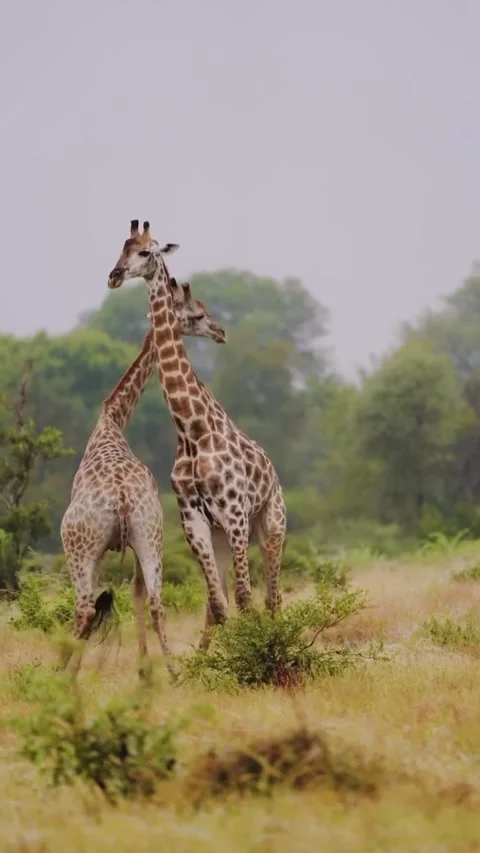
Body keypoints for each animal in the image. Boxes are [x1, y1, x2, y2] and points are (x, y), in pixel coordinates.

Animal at [60, 254, 227, 676]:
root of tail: (119, 499)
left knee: (85, 607)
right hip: (151, 534)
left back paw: (63, 671)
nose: (220, 331)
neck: (111, 421)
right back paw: (171, 670)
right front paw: (144, 667)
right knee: (154, 601)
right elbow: (137, 595)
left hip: (81, 546)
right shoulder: (137, 543)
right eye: (197, 313)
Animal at [108, 220, 286, 649]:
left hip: (271, 524)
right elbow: (218, 604)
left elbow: (243, 597)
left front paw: (254, 653)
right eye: (122, 249)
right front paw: (213, 659)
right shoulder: (195, 520)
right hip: (224, 535)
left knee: (273, 596)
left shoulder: (236, 514)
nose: (114, 275)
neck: (191, 428)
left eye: (145, 252)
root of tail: (275, 472)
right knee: (222, 599)